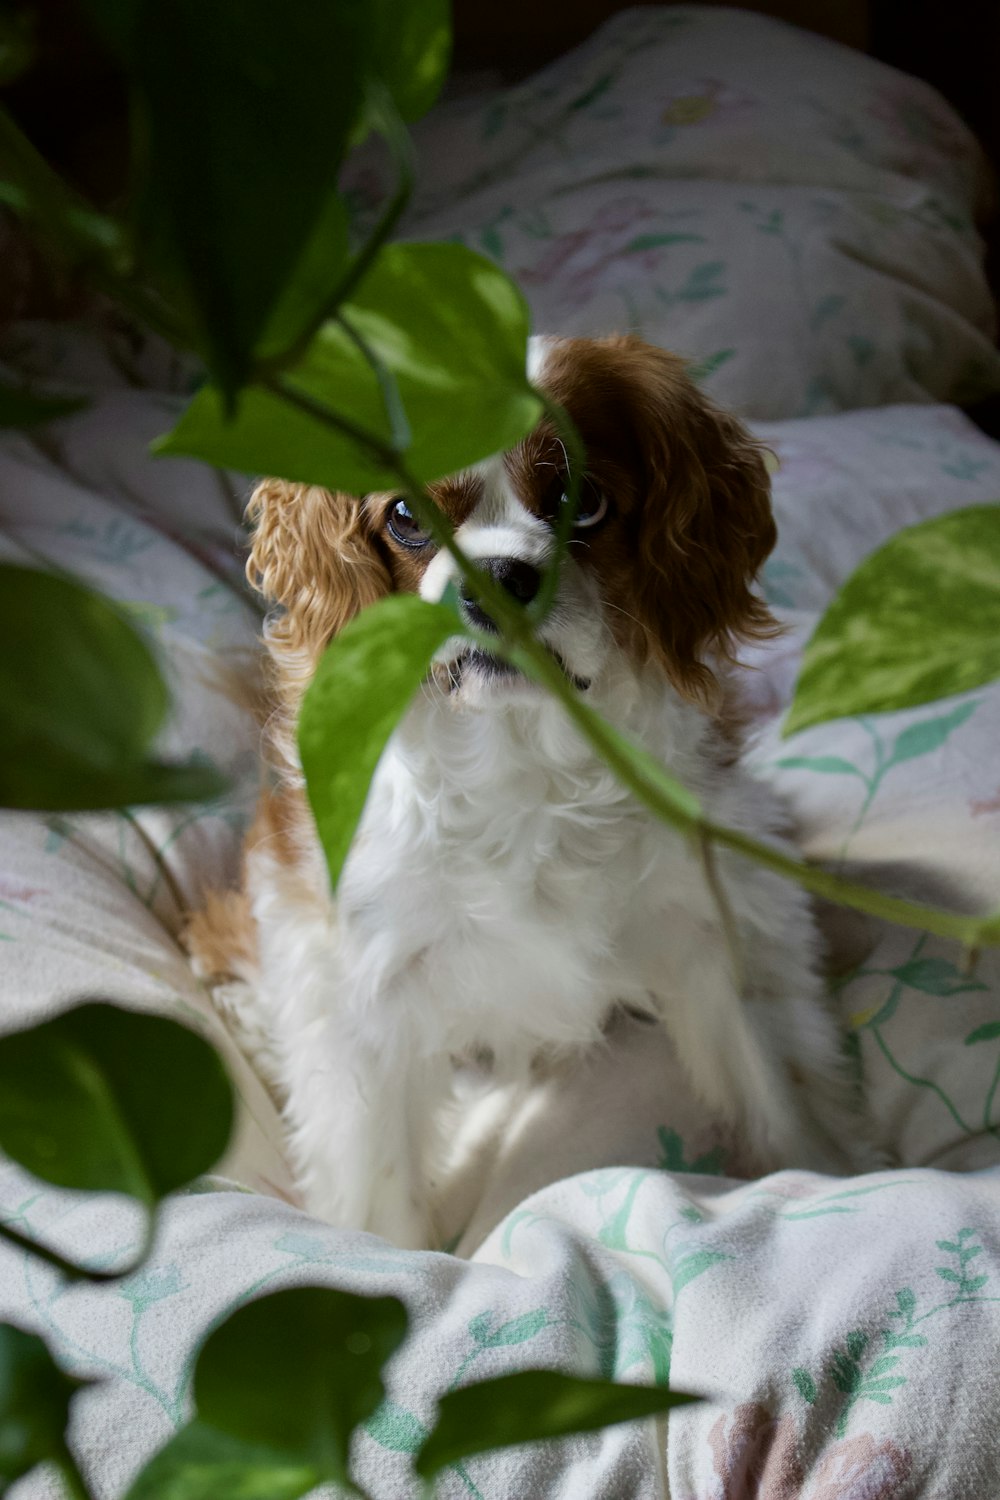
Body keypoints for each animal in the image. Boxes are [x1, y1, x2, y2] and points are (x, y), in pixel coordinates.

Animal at [185, 334, 869, 1248]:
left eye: (585, 505)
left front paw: (840, 1187)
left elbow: (784, 1093)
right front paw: (400, 1267)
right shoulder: (363, 988)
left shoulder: (719, 919)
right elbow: (378, 1185)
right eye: (405, 517)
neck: (520, 755)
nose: (498, 577)